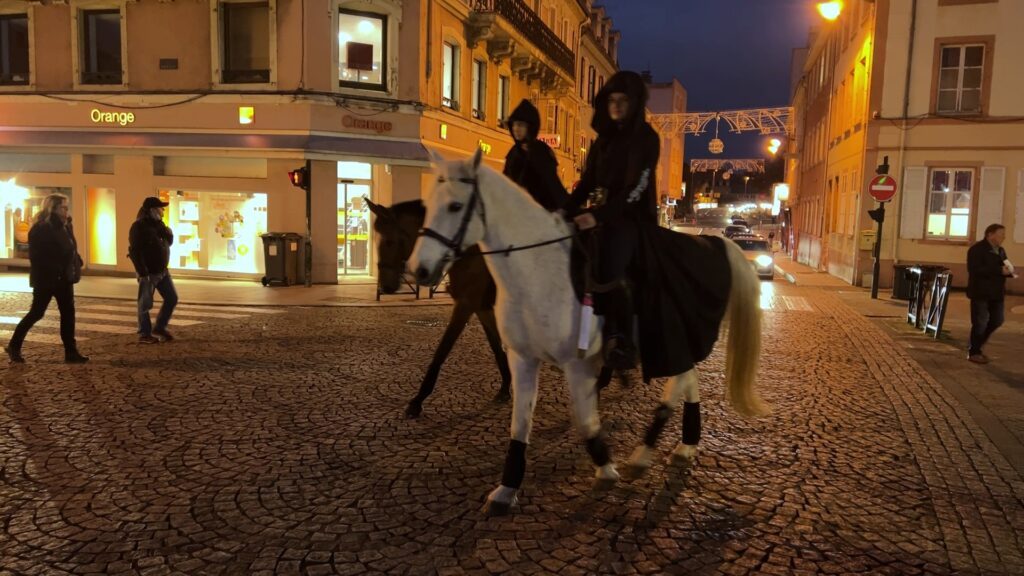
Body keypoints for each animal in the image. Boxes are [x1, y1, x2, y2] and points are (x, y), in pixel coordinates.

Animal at [407, 146, 770, 510]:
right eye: (427, 203)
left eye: (455, 206)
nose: (418, 271)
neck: (538, 270)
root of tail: (715, 243)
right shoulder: (523, 358)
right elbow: (519, 423)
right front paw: (507, 488)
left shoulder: (577, 362)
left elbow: (584, 420)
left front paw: (605, 469)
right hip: (677, 341)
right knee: (689, 377)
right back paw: (685, 444)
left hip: (670, 338)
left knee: (679, 381)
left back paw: (644, 453)